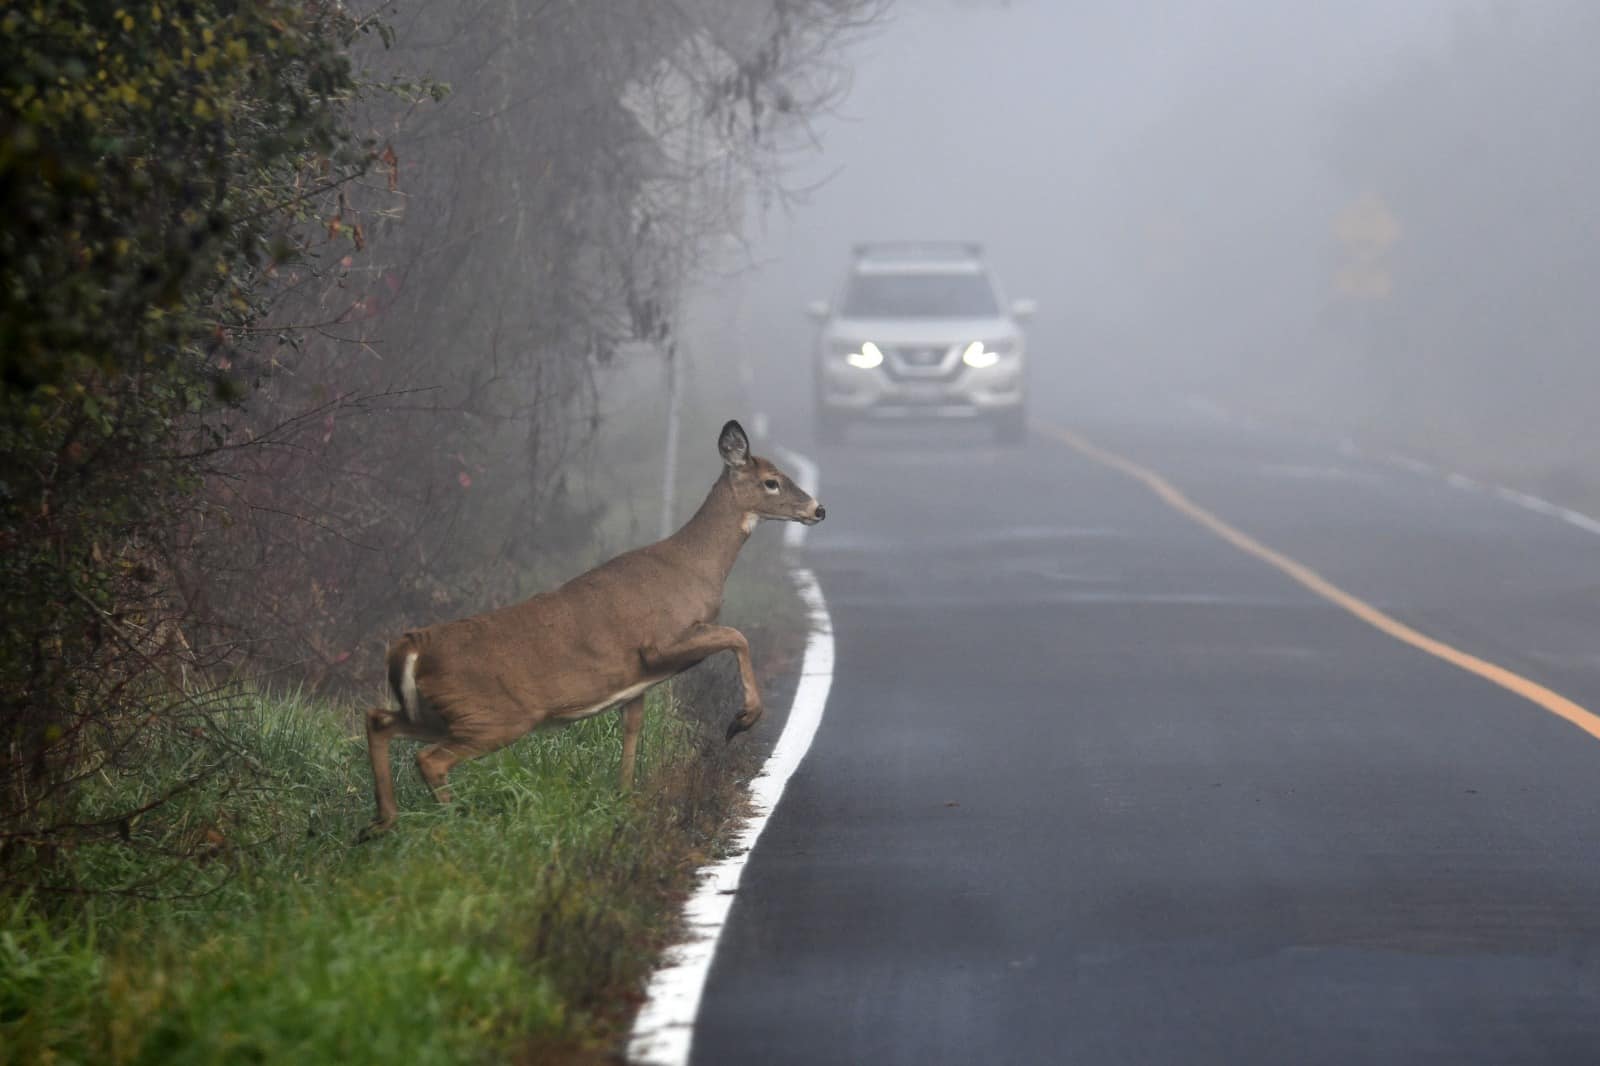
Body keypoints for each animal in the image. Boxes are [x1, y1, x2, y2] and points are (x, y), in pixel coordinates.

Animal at [360, 419, 825, 832]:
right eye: (772, 481)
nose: (818, 509)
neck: (695, 568)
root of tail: (412, 646)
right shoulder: (658, 642)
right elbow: (737, 635)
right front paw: (742, 719)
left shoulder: (636, 683)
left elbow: (632, 733)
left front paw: (625, 802)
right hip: (495, 714)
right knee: (430, 758)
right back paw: (453, 824)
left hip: (441, 711)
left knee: (379, 720)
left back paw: (382, 824)